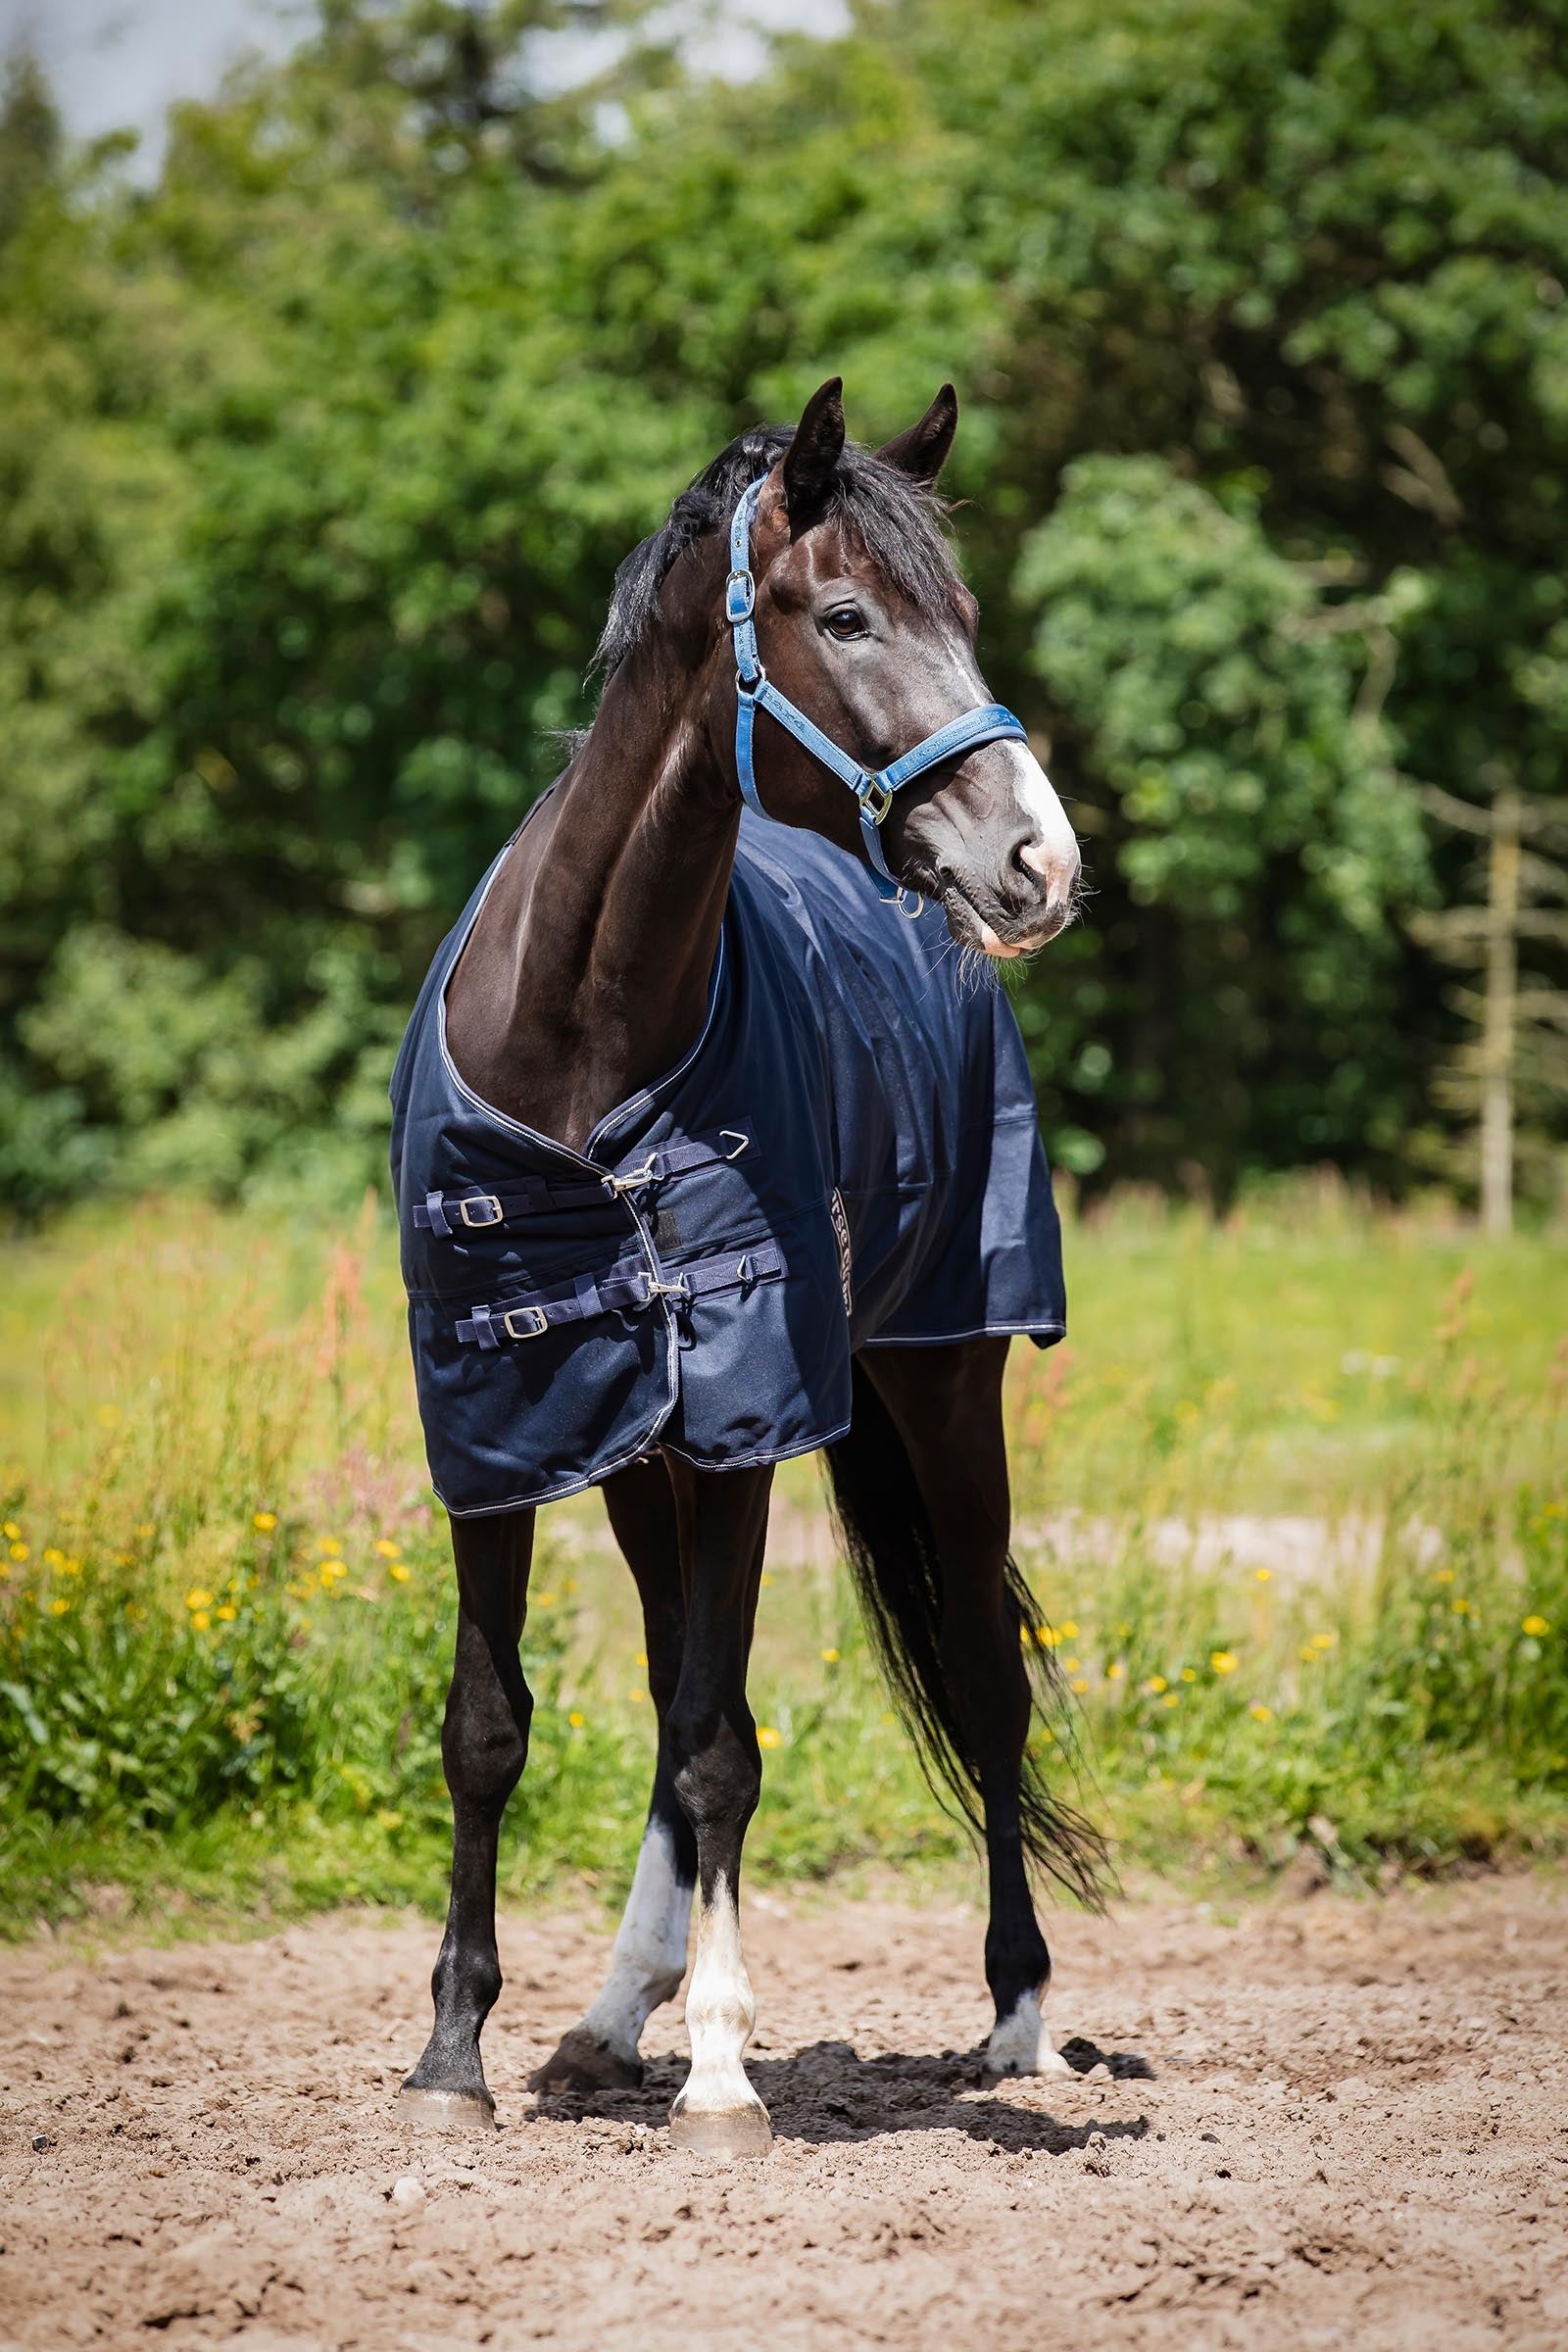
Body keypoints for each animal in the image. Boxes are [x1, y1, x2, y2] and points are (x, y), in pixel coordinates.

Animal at [388, 378, 1107, 2160]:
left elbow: (725, 1747)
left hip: (940, 1387)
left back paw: (1018, 2018)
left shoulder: (746, 1423)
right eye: (845, 615)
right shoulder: (495, 1424)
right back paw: (604, 2019)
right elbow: (492, 1728)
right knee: (666, 1697)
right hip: (639, 1460)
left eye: (964, 613)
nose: (1040, 867)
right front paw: (455, 2056)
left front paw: (720, 2070)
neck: (580, 1031)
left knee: (981, 1685)